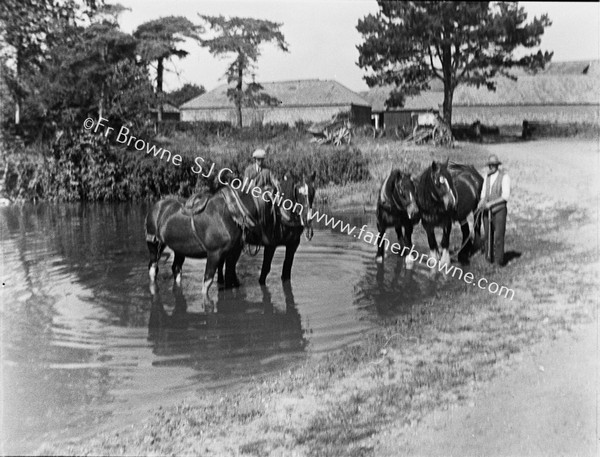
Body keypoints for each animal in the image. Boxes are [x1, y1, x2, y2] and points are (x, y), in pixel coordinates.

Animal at [145, 179, 276, 302]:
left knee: (176, 269)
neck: (230, 214)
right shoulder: (214, 254)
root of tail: (157, 206)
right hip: (154, 244)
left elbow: (229, 278)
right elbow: (207, 282)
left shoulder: (231, 253)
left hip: (179, 249)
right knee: (153, 268)